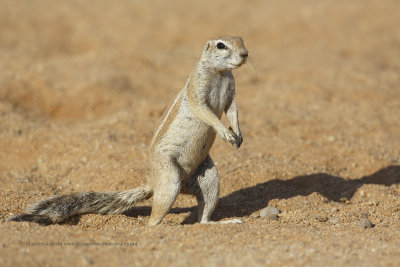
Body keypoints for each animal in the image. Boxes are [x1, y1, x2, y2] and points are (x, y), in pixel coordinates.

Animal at [7, 35, 247, 227]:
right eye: (221, 45)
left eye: (241, 40)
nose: (245, 54)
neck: (220, 73)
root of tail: (153, 183)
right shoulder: (197, 88)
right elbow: (204, 110)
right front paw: (225, 132)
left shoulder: (231, 92)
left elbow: (233, 110)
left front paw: (238, 134)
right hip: (170, 178)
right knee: (152, 221)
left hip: (209, 178)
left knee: (203, 215)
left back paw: (220, 223)